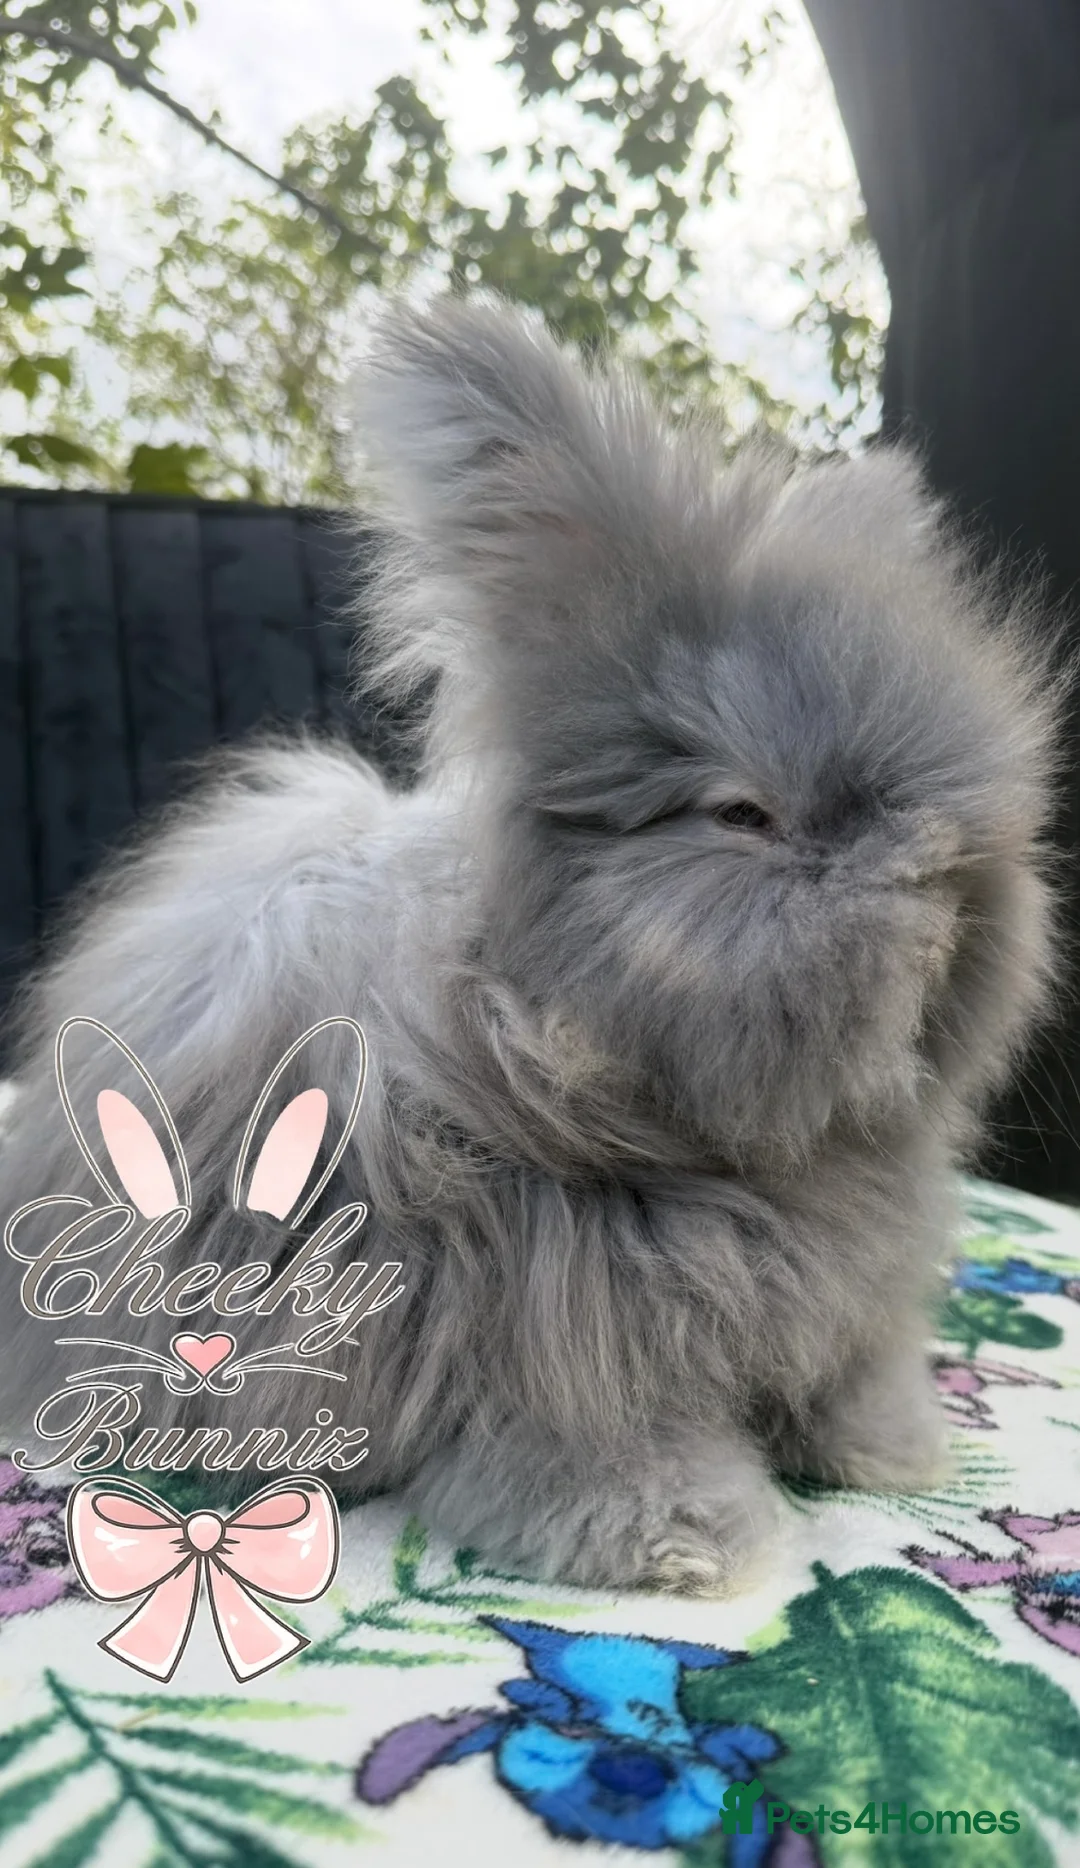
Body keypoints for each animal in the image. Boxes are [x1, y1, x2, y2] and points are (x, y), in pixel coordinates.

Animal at [0, 291, 1070, 1594]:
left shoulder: (844, 1293)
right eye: (744, 813)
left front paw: (897, 1450)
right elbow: (606, 1441)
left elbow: (855, 1371)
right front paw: (688, 1542)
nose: (955, 905)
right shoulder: (546, 1331)